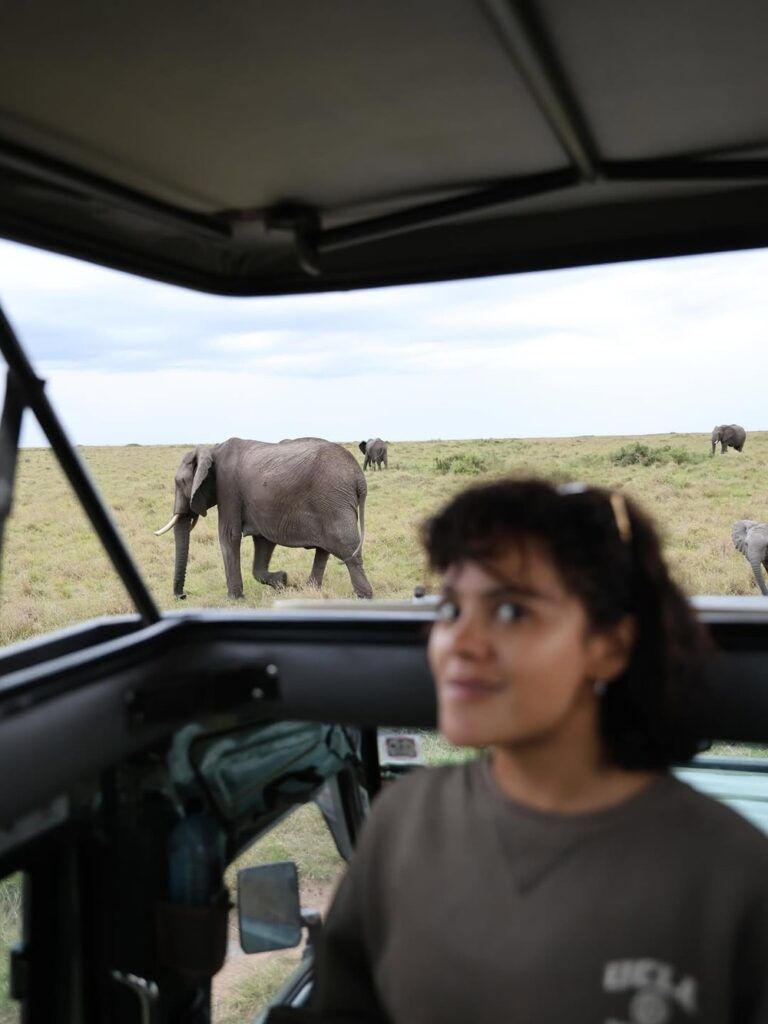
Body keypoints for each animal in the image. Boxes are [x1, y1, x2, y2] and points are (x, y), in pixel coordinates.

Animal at [154, 437, 373, 600]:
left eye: (180, 483)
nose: (183, 596)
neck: (212, 449)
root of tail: (359, 478)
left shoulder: (228, 488)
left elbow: (228, 536)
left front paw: (235, 599)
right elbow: (263, 541)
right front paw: (283, 581)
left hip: (333, 501)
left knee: (347, 548)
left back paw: (364, 597)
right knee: (325, 549)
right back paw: (309, 590)